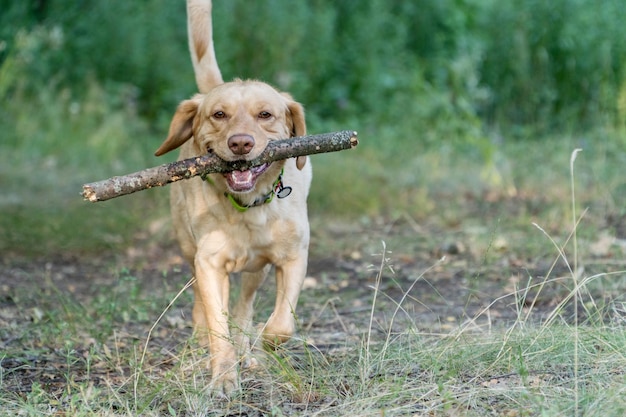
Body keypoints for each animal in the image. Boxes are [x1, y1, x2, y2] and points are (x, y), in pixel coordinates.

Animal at [155, 0, 310, 394]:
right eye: (219, 115)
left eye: (265, 114)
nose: (241, 143)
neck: (249, 208)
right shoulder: (209, 263)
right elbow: (217, 323)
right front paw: (223, 376)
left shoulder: (294, 258)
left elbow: (281, 324)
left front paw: (263, 346)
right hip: (187, 245)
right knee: (203, 303)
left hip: (257, 269)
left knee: (246, 305)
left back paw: (249, 349)